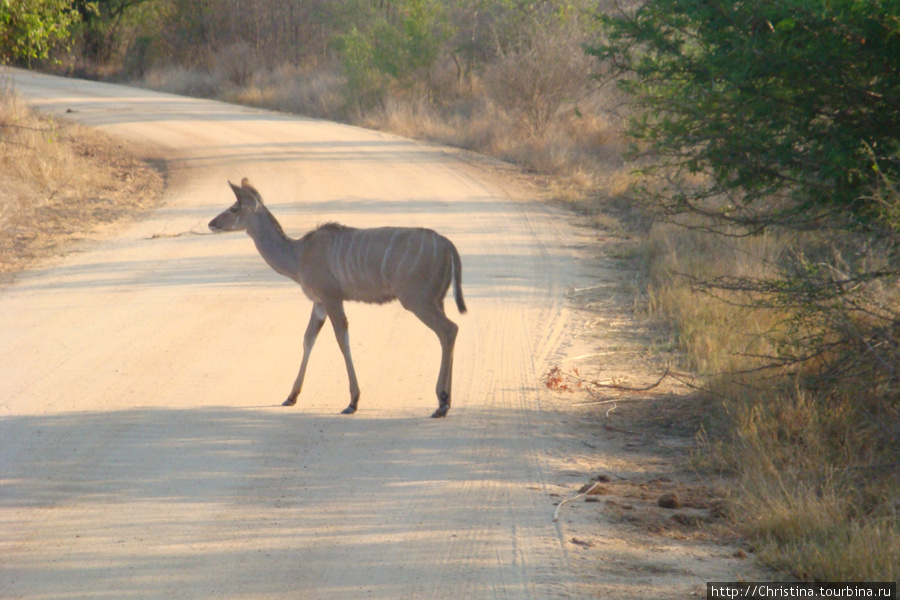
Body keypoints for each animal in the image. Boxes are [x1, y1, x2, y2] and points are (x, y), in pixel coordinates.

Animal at [207, 178, 468, 418]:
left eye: (234, 208)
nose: (212, 223)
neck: (299, 255)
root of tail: (448, 245)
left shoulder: (331, 297)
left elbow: (342, 339)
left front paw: (353, 401)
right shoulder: (318, 302)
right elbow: (308, 339)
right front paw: (291, 396)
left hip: (417, 300)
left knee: (448, 330)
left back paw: (441, 403)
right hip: (436, 300)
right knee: (450, 332)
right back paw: (445, 402)